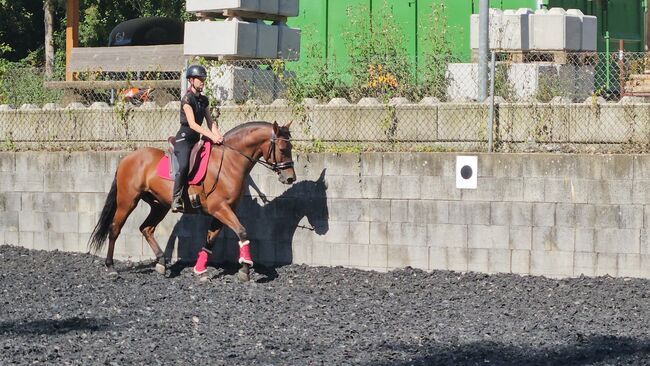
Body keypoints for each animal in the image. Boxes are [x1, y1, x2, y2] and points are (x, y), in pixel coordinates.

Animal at [87, 121, 294, 280]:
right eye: (283, 149)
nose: (291, 178)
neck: (229, 162)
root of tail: (126, 158)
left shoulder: (221, 211)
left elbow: (210, 240)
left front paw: (200, 269)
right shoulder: (220, 208)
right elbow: (242, 232)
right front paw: (245, 269)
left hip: (159, 206)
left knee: (146, 228)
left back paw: (161, 263)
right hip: (127, 201)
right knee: (115, 229)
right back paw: (111, 267)